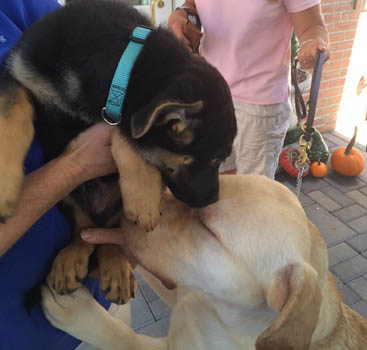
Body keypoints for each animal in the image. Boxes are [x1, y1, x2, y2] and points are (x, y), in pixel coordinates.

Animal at [0, 0, 237, 304]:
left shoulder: (116, 111)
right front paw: (4, 183)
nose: (214, 200)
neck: (125, 63)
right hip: (66, 195)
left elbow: (122, 131)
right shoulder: (18, 75)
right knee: (82, 229)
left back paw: (114, 266)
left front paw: (142, 197)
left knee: (110, 235)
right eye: (217, 159)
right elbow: (11, 110)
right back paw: (71, 257)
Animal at [41, 176, 367, 350]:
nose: (123, 203)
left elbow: (124, 337)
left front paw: (79, 313)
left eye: (208, 228)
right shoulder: (184, 291)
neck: (217, 311)